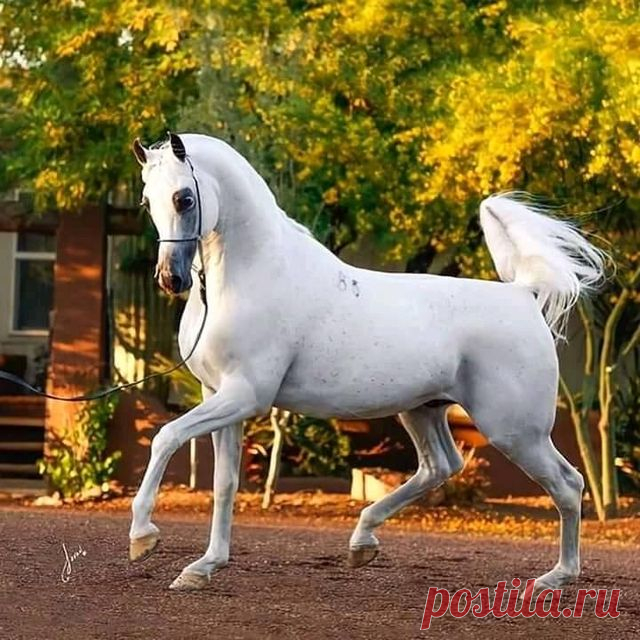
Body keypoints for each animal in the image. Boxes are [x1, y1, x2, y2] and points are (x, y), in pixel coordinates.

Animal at [129, 132, 605, 592]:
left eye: (184, 199)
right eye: (148, 201)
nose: (171, 278)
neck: (252, 276)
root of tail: (523, 295)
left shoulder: (245, 396)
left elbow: (165, 437)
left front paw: (142, 538)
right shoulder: (219, 394)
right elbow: (224, 483)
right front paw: (202, 568)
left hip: (515, 431)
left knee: (568, 484)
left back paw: (555, 579)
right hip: (423, 410)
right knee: (440, 466)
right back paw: (362, 543)